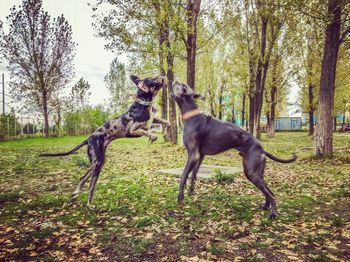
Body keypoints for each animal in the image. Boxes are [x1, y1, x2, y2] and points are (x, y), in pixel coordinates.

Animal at [41, 74, 170, 207]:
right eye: (152, 79)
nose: (162, 75)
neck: (143, 103)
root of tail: (89, 138)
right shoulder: (133, 129)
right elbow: (151, 134)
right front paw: (153, 138)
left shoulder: (152, 121)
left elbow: (166, 122)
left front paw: (166, 132)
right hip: (97, 162)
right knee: (90, 186)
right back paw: (89, 204)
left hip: (99, 161)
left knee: (83, 177)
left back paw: (76, 193)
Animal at [172, 80, 296, 219]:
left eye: (183, 87)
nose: (175, 80)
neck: (191, 116)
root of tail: (262, 150)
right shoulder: (200, 156)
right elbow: (193, 174)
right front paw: (190, 191)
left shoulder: (193, 155)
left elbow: (183, 175)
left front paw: (180, 197)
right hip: (256, 172)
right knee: (269, 191)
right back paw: (265, 206)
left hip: (251, 173)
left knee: (271, 194)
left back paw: (273, 213)